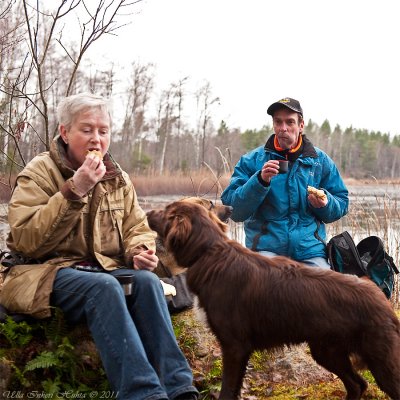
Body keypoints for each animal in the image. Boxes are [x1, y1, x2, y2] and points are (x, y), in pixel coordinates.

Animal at [148, 202, 400, 400]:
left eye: (166, 210)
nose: (148, 212)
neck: (210, 251)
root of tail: (381, 299)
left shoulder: (234, 346)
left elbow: (227, 391)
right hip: (327, 351)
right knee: (358, 385)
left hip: (380, 359)